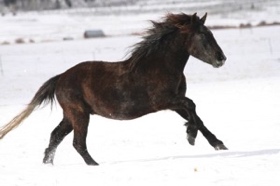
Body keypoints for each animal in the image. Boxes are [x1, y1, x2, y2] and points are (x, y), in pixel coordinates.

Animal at [0, 12, 228, 165]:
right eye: (203, 35)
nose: (221, 58)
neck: (160, 66)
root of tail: (60, 78)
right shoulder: (164, 101)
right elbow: (192, 106)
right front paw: (190, 136)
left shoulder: (175, 103)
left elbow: (196, 116)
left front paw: (218, 143)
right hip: (79, 114)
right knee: (77, 143)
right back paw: (95, 165)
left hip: (70, 115)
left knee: (56, 136)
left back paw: (48, 164)